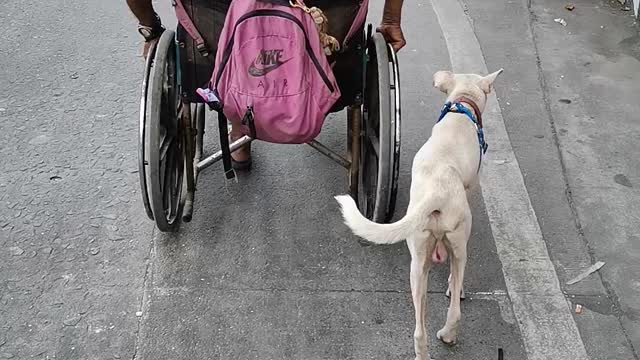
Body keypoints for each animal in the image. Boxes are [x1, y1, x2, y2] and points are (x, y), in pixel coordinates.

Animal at [332, 69, 502, 358]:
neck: (462, 106)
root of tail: (437, 190)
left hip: (418, 259)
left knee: (420, 327)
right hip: (456, 245)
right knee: (455, 301)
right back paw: (450, 326)